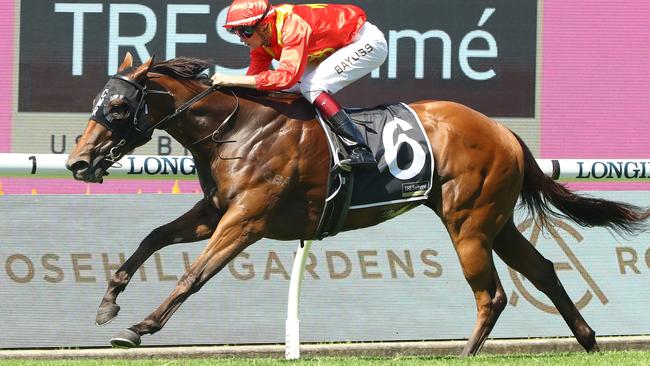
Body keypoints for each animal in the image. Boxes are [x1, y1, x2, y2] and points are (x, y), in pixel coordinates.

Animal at [66, 54, 648, 354]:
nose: (77, 161)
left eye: (118, 107)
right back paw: (589, 342)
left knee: (493, 295)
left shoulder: (247, 219)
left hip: (469, 224)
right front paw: (108, 303)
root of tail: (503, 131)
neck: (237, 127)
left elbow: (194, 274)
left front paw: (138, 328)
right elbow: (152, 238)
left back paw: (465, 354)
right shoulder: (214, 212)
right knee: (544, 270)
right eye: (96, 102)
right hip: (494, 222)